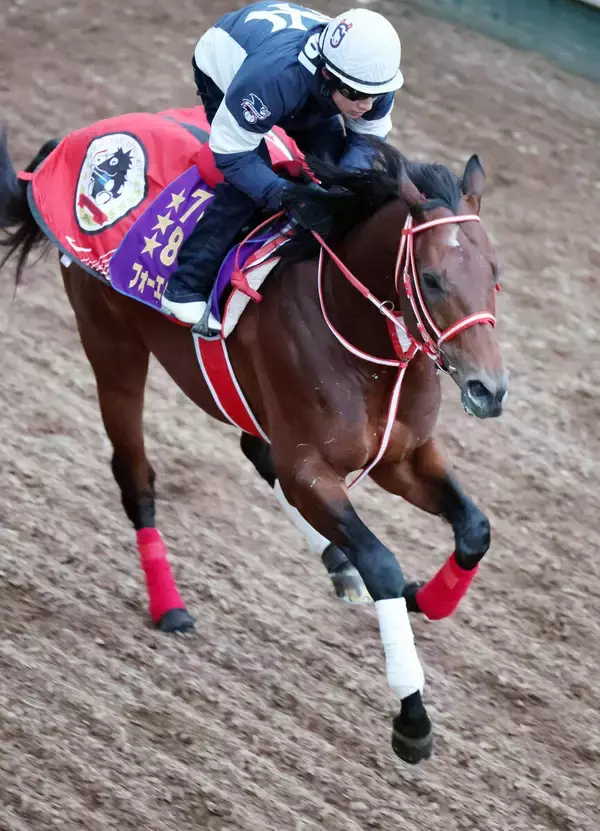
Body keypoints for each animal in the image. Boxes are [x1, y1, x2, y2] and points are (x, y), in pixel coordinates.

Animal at [0, 124, 508, 765]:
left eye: (494, 272)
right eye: (434, 278)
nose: (489, 390)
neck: (362, 337)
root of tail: (67, 146)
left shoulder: (401, 457)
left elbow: (474, 528)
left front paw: (429, 599)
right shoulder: (310, 469)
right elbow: (382, 564)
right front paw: (412, 718)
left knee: (255, 453)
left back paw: (336, 563)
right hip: (112, 346)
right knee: (135, 475)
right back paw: (170, 605)